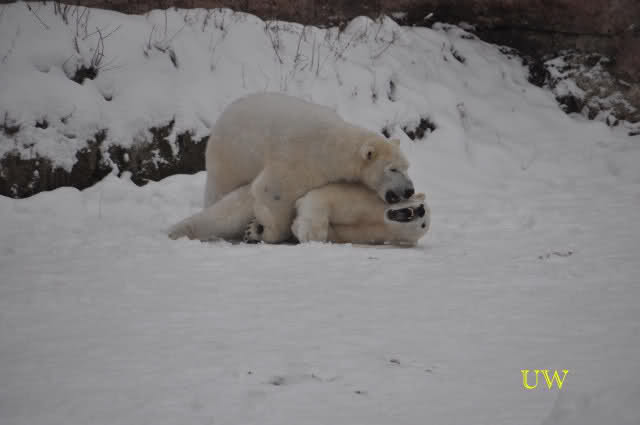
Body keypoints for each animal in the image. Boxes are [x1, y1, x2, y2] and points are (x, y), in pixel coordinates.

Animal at [204, 93, 414, 244]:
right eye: (393, 169)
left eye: (407, 166)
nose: (409, 190)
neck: (334, 146)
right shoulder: (300, 159)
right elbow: (272, 191)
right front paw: (262, 231)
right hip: (231, 156)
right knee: (221, 187)